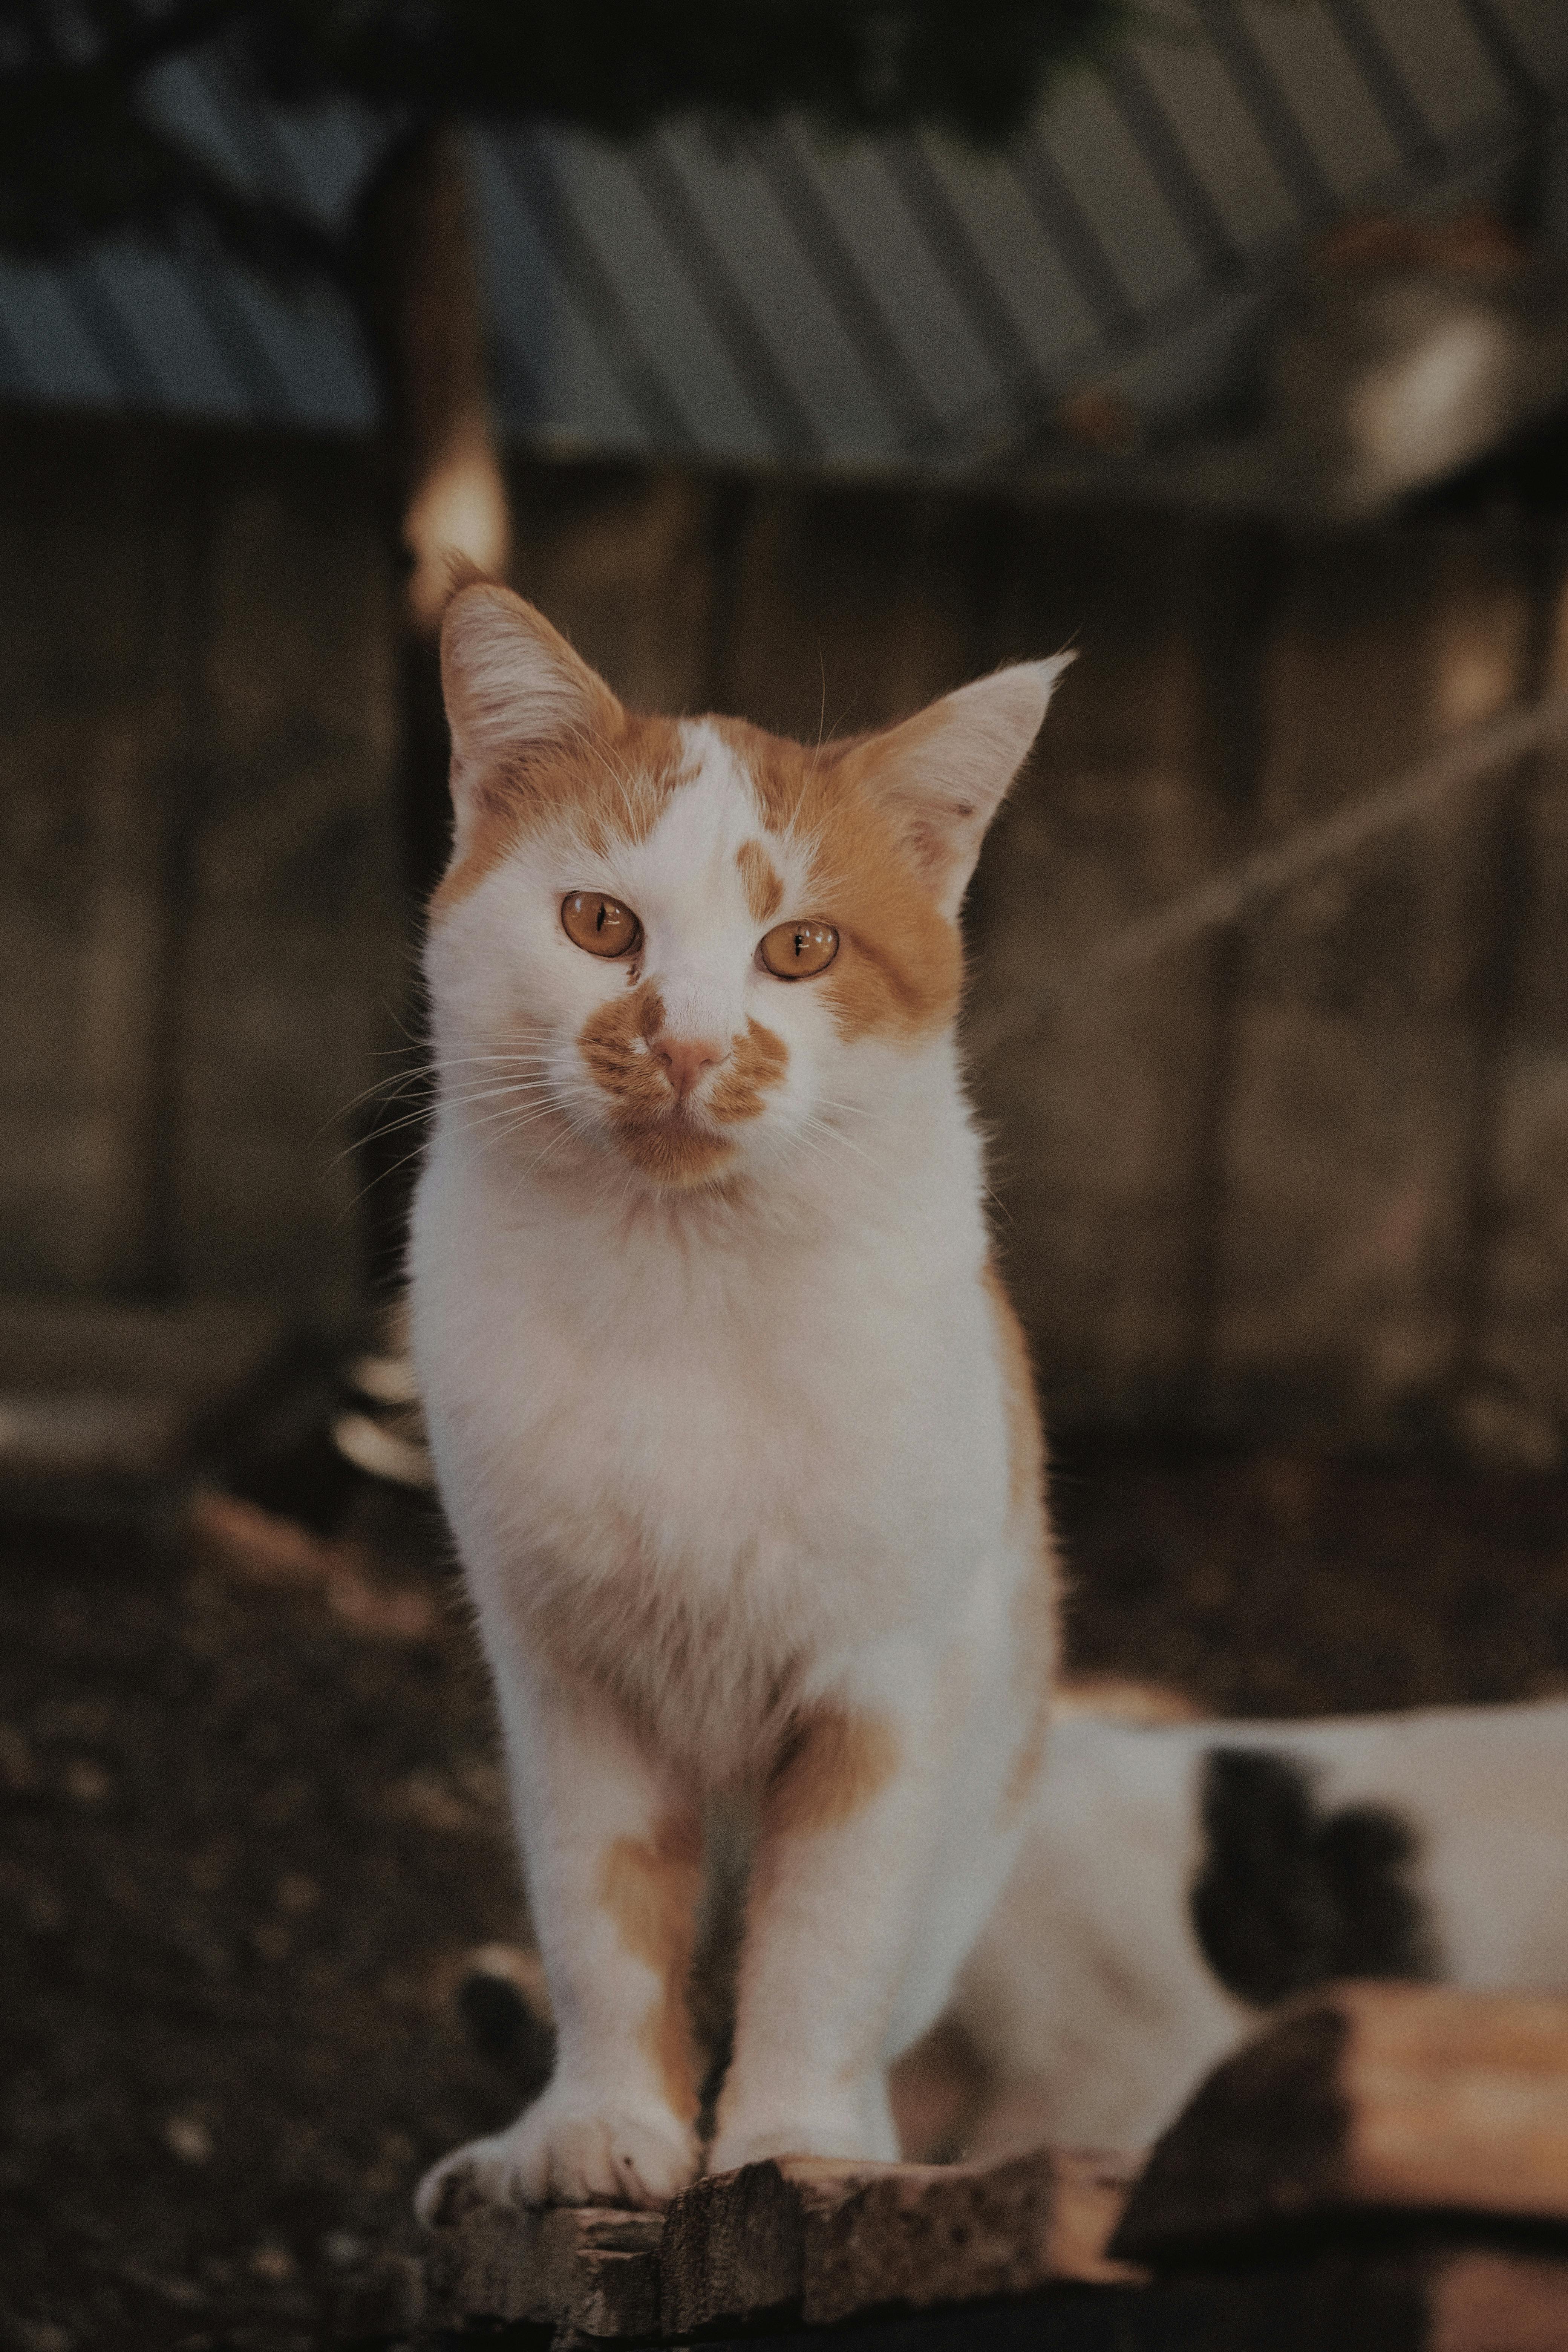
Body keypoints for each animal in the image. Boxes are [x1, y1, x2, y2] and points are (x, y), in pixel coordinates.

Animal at [404, 579, 1072, 2211]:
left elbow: (825, 1950)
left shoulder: (884, 1690)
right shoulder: (568, 1678)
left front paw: (793, 2143)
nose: (690, 1040)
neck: (684, 1285)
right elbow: (600, 1922)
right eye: (599, 925)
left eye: (803, 947)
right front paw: (602, 2132)